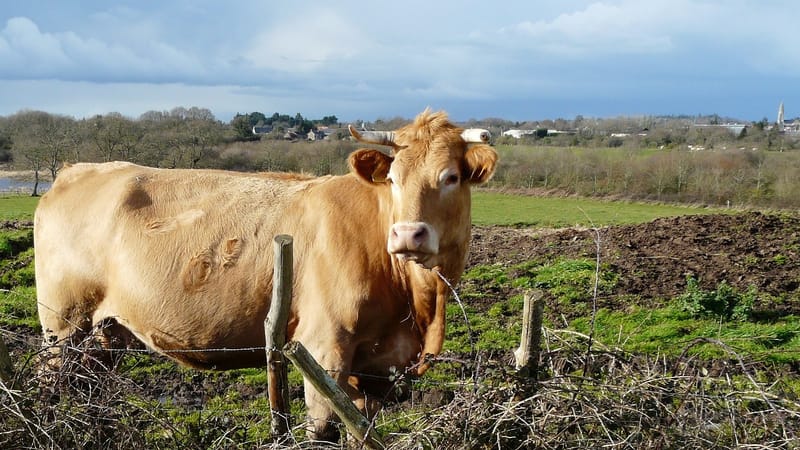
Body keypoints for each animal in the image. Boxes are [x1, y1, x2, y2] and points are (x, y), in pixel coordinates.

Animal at [34, 108, 498, 441]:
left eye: (451, 177)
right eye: (394, 179)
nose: (407, 234)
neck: (419, 304)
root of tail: (79, 169)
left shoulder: (376, 368)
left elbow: (360, 431)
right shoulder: (323, 349)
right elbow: (322, 431)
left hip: (102, 335)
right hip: (62, 327)